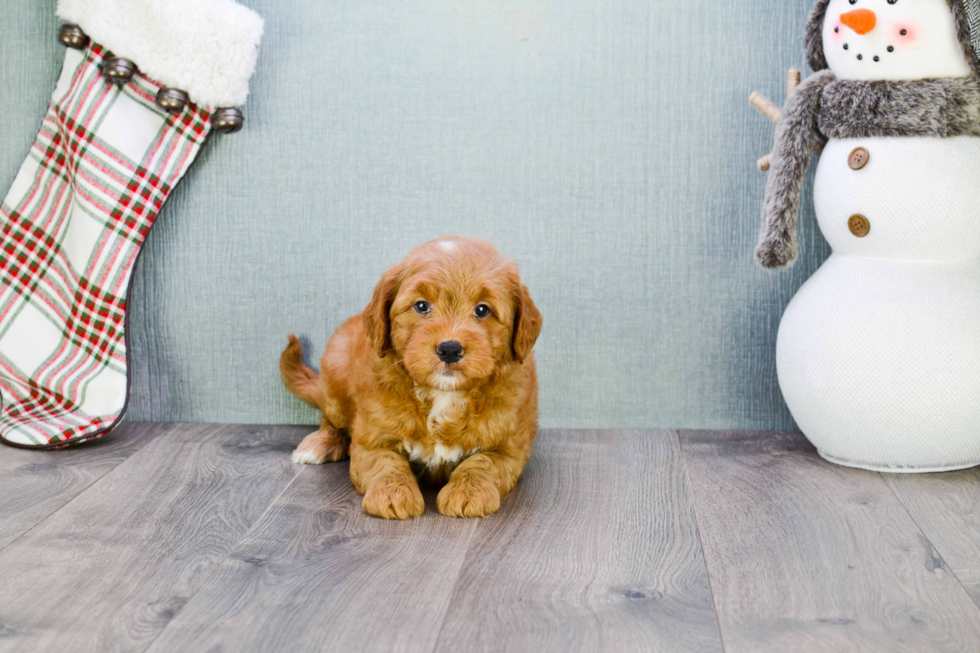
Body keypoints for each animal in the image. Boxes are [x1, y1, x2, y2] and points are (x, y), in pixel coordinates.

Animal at [280, 237, 544, 516]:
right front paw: (392, 493)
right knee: (331, 420)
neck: (443, 394)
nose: (450, 349)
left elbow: (483, 462)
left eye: (483, 310)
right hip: (336, 367)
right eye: (421, 306)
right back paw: (318, 444)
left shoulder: (509, 448)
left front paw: (468, 492)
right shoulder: (371, 441)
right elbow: (386, 461)